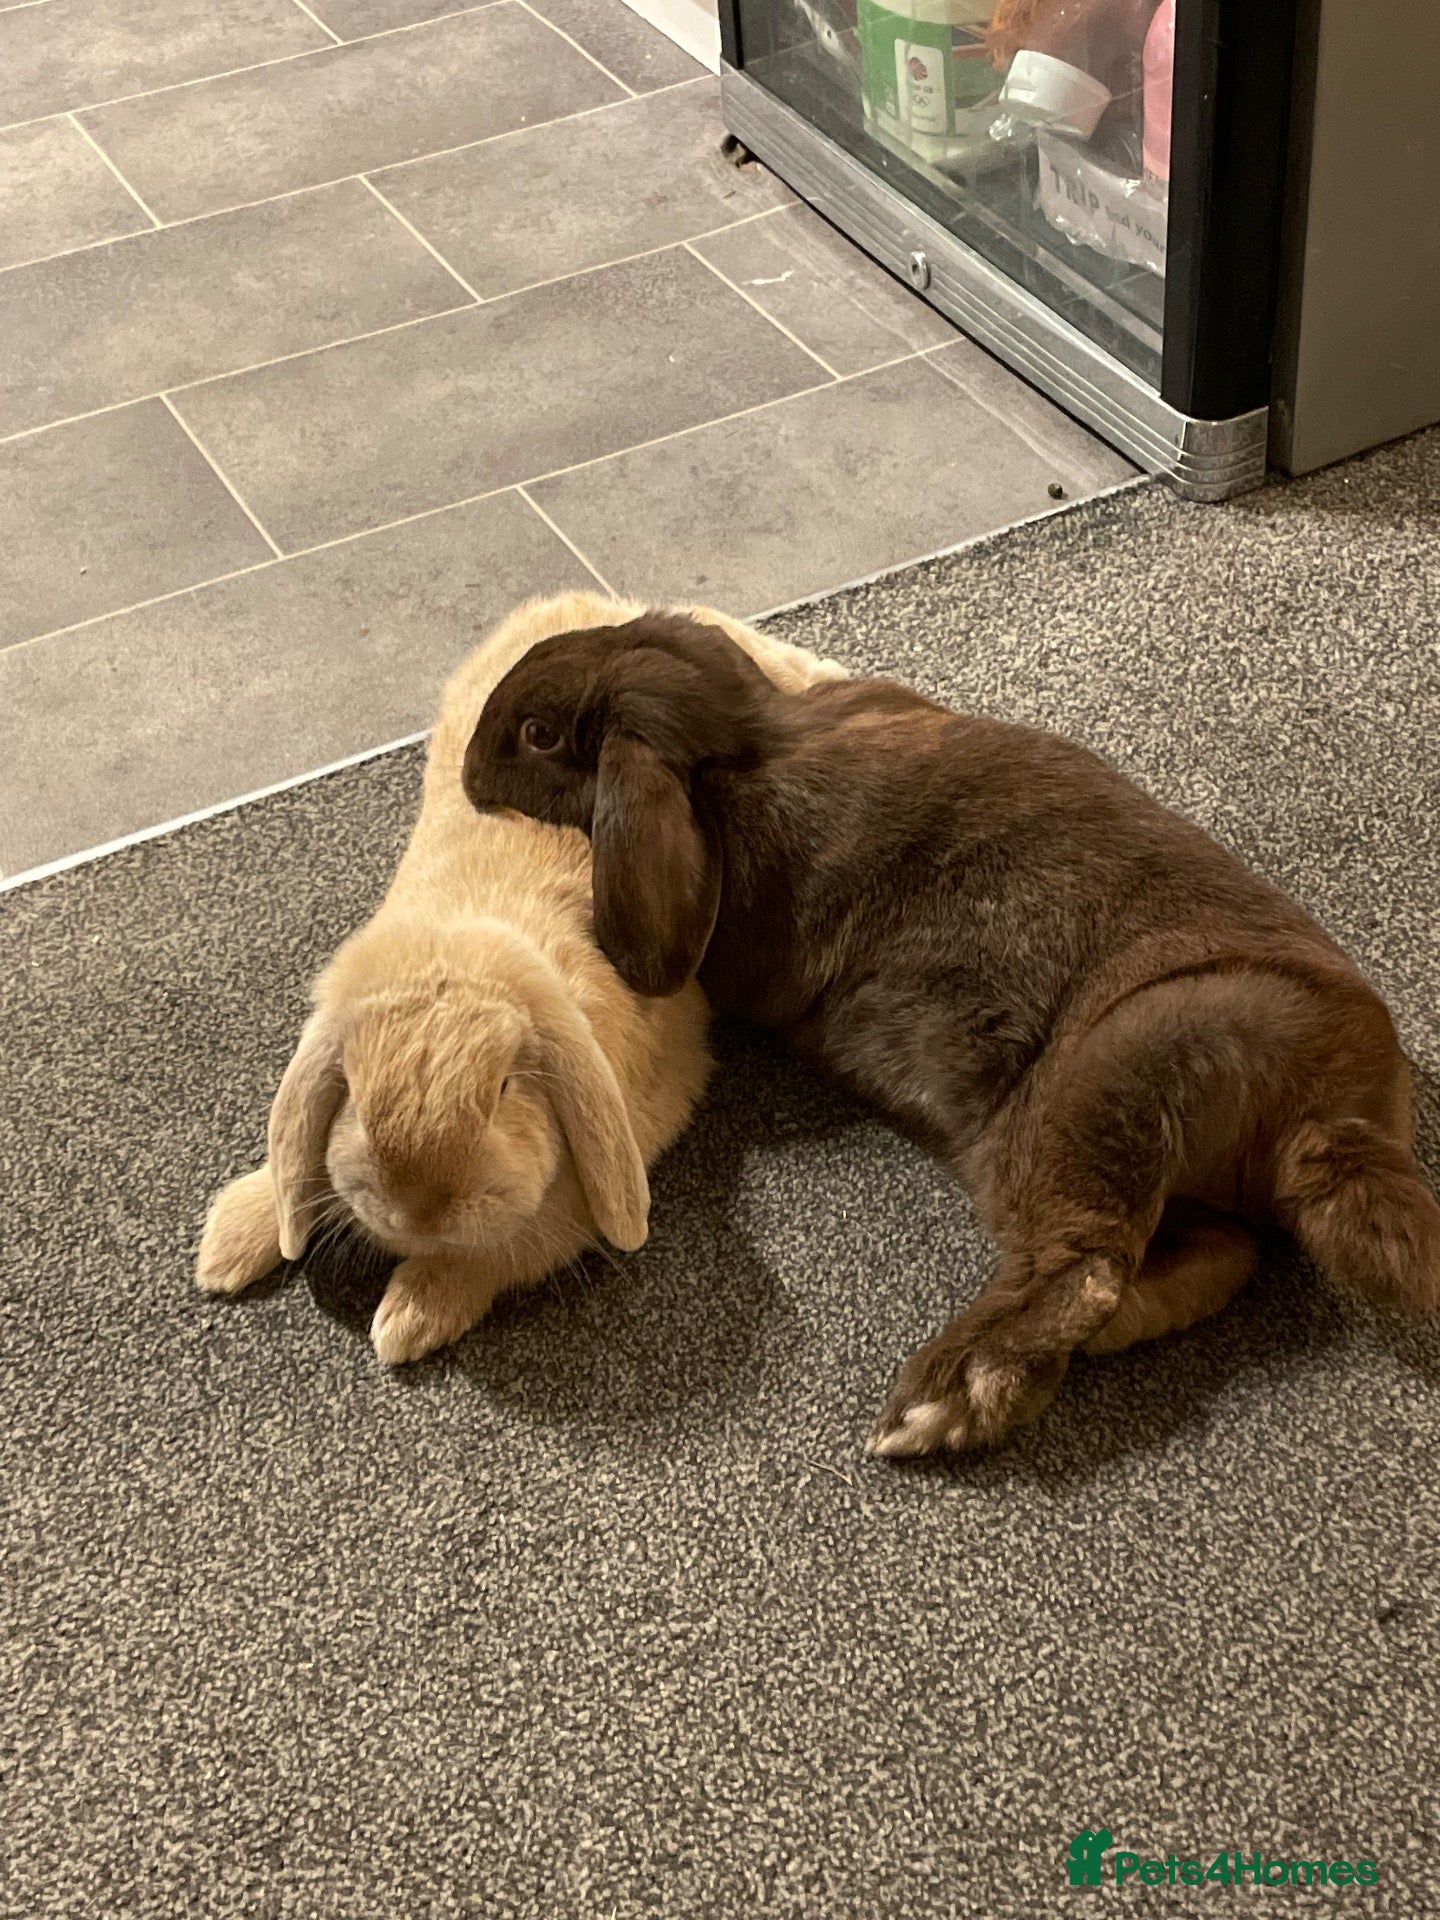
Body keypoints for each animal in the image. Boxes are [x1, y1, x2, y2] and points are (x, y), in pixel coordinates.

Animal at [195, 591, 846, 1365]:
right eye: (349, 1086)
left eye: (506, 1087)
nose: (420, 1211)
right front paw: (224, 1246)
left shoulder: (593, 1179)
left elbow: (508, 1251)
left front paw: (411, 1316)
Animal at [460, 608, 1440, 1453]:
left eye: (540, 735)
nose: (467, 772)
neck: (747, 739)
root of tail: (1335, 1122)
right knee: (1192, 1265)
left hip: (1107, 1076)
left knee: (1082, 1267)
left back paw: (942, 1402)